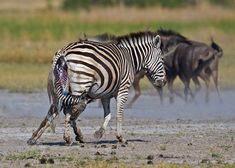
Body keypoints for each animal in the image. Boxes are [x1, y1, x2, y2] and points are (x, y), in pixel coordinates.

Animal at [27, 30, 166, 145]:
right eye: (162, 60)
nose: (163, 82)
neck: (130, 59)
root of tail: (64, 51)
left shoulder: (105, 94)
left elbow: (108, 115)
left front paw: (99, 133)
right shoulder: (123, 89)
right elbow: (119, 114)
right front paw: (121, 137)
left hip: (62, 87)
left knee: (54, 111)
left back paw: (35, 137)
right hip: (79, 86)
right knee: (68, 110)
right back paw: (67, 138)